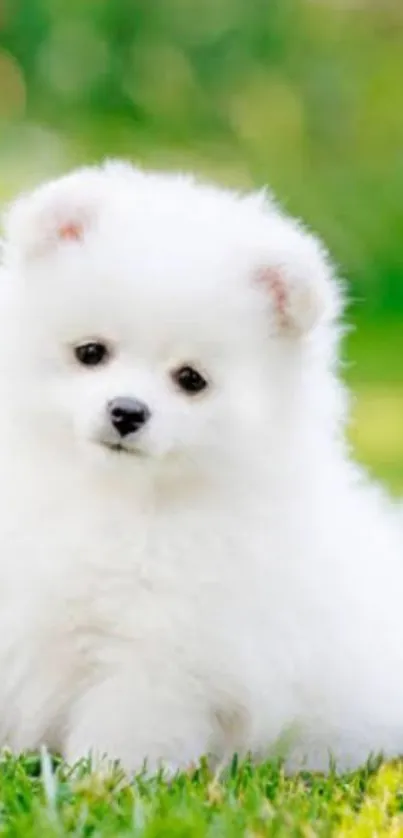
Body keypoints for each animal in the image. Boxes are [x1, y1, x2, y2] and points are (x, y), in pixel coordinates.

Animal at [0, 161, 403, 776]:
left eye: (191, 379)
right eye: (90, 352)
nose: (127, 411)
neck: (114, 499)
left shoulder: (163, 654)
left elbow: (126, 727)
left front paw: (104, 781)